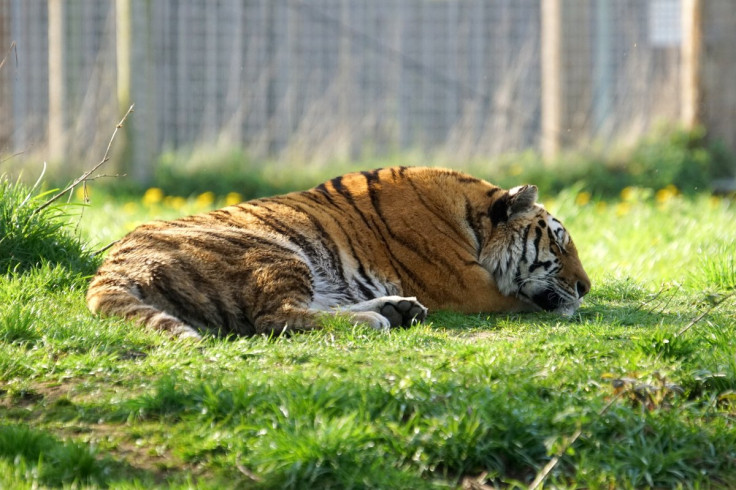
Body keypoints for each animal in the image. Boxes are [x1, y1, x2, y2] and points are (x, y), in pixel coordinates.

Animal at [87, 166, 590, 339]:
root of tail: (108, 267)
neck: (472, 220)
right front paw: (572, 308)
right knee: (276, 317)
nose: (586, 286)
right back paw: (377, 319)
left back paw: (396, 309)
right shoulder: (468, 288)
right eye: (558, 243)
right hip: (273, 250)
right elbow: (525, 300)